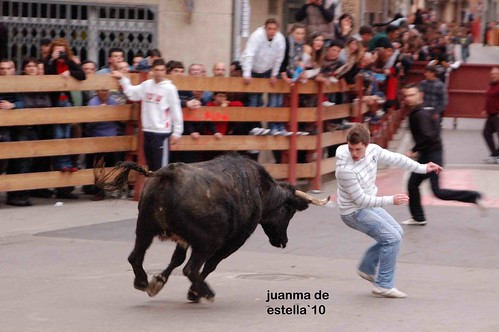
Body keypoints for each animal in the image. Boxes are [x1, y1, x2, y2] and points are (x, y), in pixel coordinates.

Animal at [99, 154, 330, 302]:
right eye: (288, 211)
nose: (283, 242)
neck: (260, 189)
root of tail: (168, 175)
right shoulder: (235, 239)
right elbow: (210, 265)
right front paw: (193, 292)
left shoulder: (184, 240)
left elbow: (176, 259)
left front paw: (159, 281)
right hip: (208, 241)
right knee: (191, 268)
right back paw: (205, 292)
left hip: (144, 228)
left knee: (135, 257)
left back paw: (143, 281)